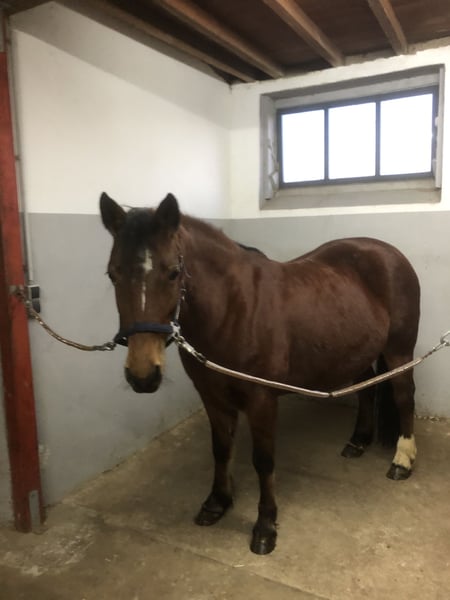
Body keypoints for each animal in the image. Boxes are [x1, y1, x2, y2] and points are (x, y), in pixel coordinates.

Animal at [100, 191, 420, 555]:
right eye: (112, 274)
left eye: (173, 272)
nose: (143, 375)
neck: (234, 309)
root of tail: (389, 253)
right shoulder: (212, 396)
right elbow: (221, 449)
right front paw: (217, 502)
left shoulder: (262, 399)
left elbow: (263, 460)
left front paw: (265, 526)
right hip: (358, 350)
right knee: (367, 388)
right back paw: (358, 441)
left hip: (399, 351)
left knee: (404, 397)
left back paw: (402, 460)